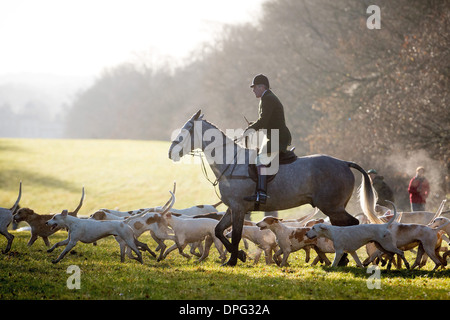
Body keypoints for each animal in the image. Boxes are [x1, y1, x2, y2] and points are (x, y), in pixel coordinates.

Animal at [168, 111, 376, 266]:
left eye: (185, 130)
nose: (171, 153)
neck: (231, 162)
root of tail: (344, 163)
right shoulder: (232, 208)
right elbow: (220, 230)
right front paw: (240, 255)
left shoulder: (239, 208)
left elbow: (235, 235)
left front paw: (233, 260)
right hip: (334, 208)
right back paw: (342, 260)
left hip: (333, 207)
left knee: (350, 225)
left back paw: (343, 259)